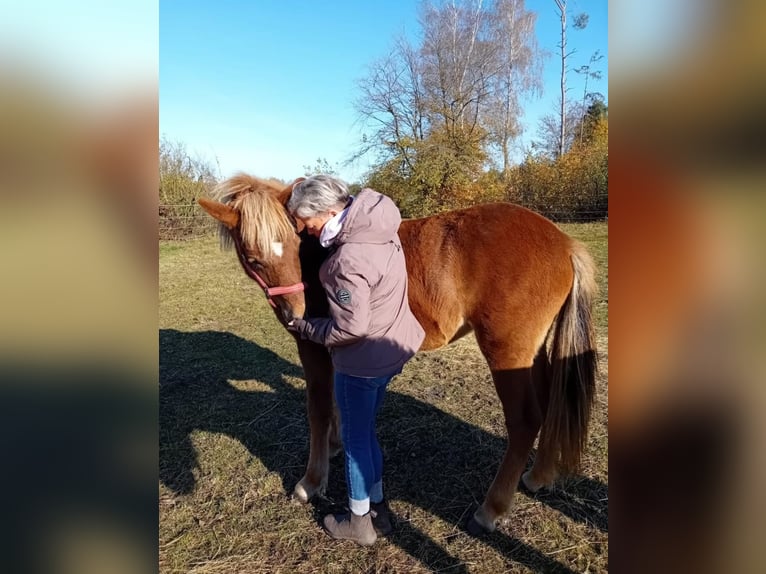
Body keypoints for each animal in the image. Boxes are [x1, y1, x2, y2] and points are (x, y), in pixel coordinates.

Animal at [200, 176, 600, 536]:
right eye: (254, 259)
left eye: (294, 244)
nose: (296, 314)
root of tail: (564, 242)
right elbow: (338, 404)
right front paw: (336, 445)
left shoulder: (313, 348)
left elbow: (318, 407)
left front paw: (311, 481)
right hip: (537, 352)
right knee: (551, 403)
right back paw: (538, 476)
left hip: (507, 353)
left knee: (525, 420)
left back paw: (491, 509)